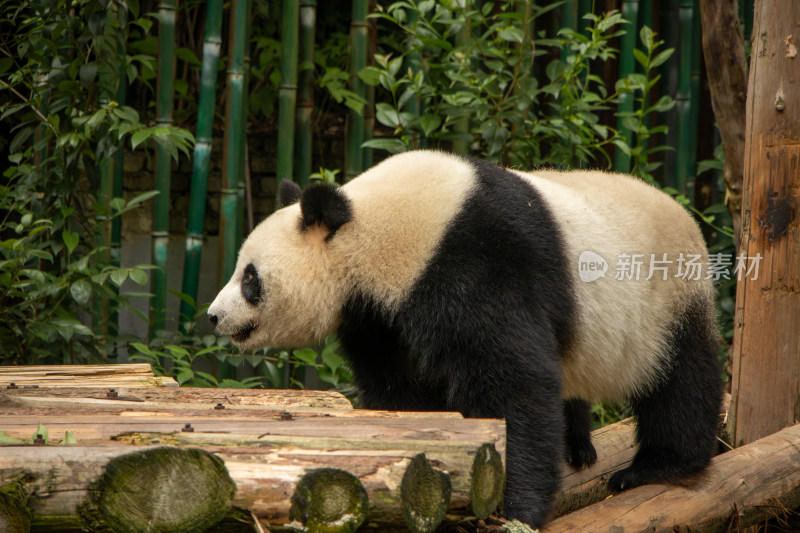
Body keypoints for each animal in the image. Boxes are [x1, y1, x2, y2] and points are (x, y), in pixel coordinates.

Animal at [208, 150, 724, 528]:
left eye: (250, 278)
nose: (214, 316)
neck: (374, 227)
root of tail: (686, 216)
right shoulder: (379, 319)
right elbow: (403, 391)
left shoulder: (474, 263)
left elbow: (513, 385)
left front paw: (513, 507)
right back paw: (578, 446)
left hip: (666, 301)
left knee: (681, 381)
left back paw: (656, 467)